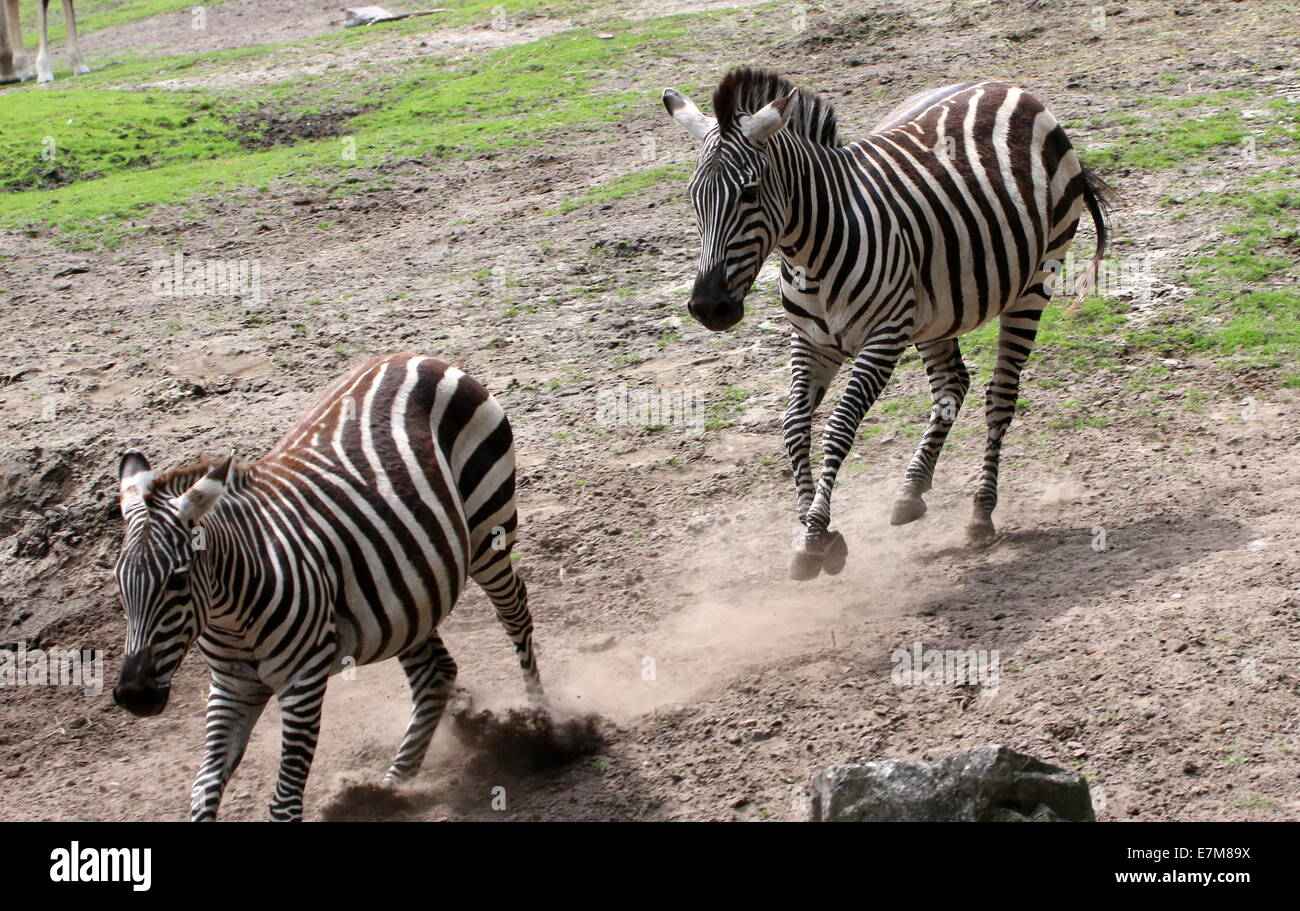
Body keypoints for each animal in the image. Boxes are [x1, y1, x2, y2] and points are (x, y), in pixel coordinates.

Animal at [111, 352, 544, 821]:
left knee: (515, 613)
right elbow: (203, 789)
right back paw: (392, 786)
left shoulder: (302, 680)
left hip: (489, 527)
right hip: (406, 595)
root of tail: (412, 356)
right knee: (435, 671)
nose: (134, 696)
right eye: (119, 584)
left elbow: (283, 803)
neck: (232, 614)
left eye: (178, 579)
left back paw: (542, 724)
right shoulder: (231, 686)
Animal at [662, 68, 1111, 580]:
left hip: (1035, 281)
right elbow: (794, 426)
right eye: (693, 197)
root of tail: (1008, 87)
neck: (810, 250)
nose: (709, 307)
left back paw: (980, 512)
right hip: (936, 308)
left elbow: (838, 427)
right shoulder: (811, 341)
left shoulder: (883, 337)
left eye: (750, 193)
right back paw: (911, 491)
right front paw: (814, 529)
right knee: (952, 384)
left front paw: (815, 534)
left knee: (1000, 395)